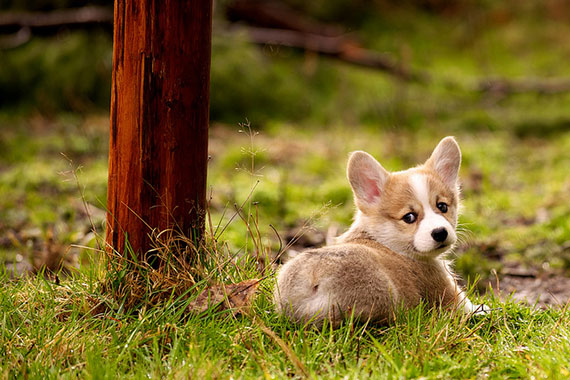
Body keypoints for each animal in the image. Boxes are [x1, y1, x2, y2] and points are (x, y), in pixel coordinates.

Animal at [272, 137, 478, 326]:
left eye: (442, 206)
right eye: (409, 217)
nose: (440, 232)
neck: (384, 241)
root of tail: (309, 279)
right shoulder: (454, 297)